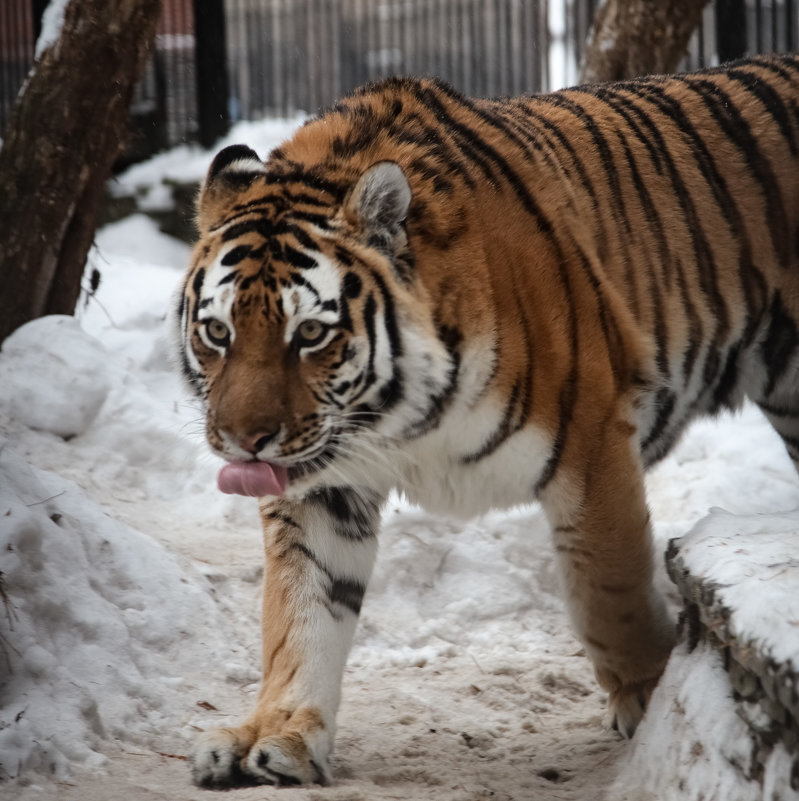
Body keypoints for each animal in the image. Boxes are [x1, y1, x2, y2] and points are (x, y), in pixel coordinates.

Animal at [173, 56, 799, 788]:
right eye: (218, 332)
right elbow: (299, 612)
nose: (245, 441)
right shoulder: (322, 488)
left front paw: (649, 704)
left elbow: (607, 590)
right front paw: (279, 733)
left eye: (310, 334)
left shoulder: (590, 444)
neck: (396, 420)